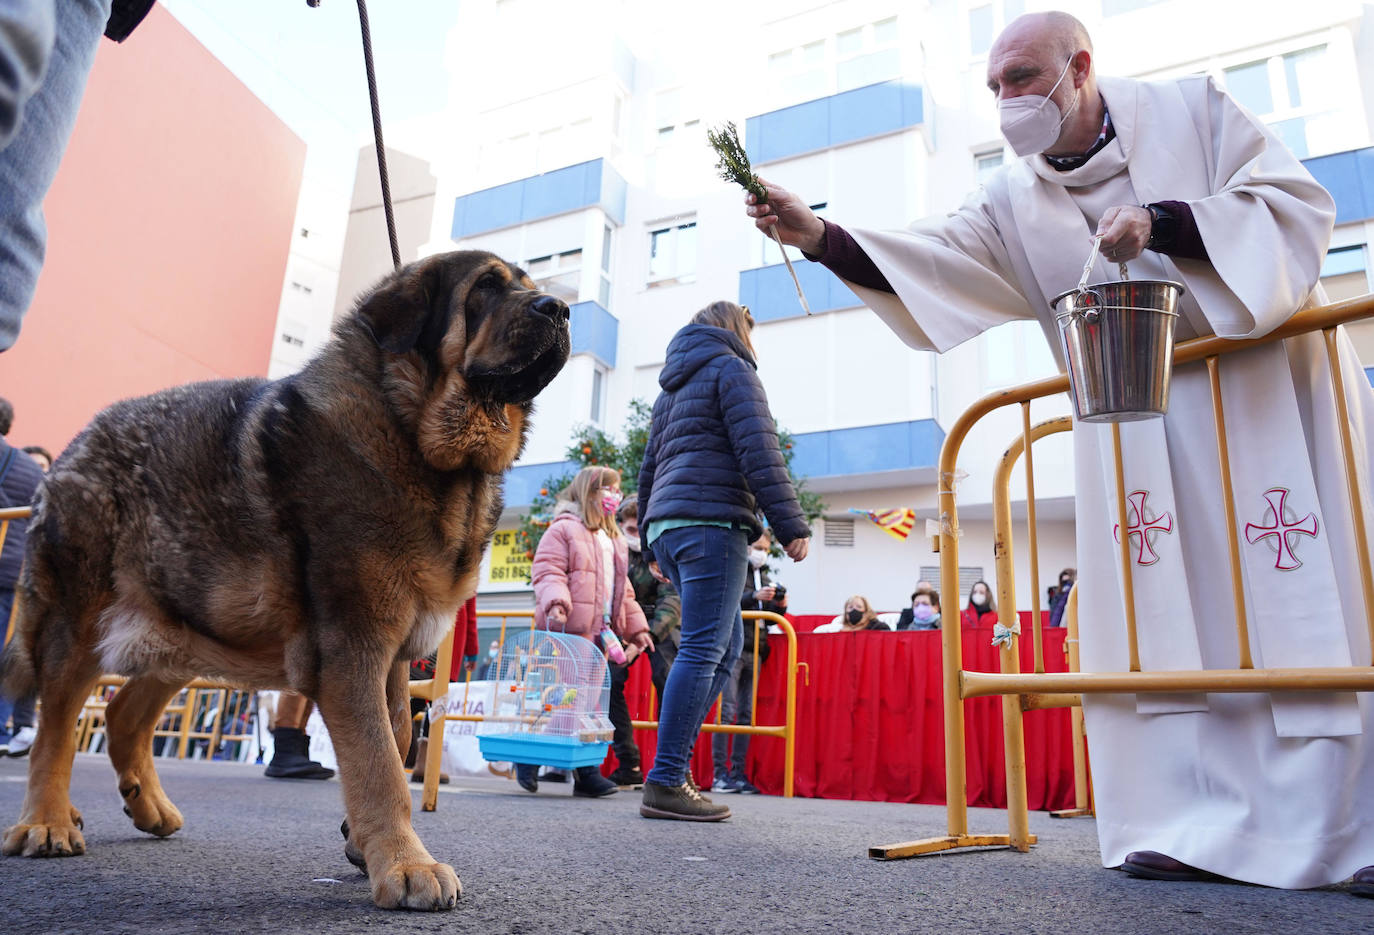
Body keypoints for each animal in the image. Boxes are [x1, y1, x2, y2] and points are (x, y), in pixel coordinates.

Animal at [0, 251, 568, 907]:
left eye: (530, 286)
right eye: (485, 289)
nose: (560, 308)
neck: (408, 430)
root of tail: (77, 445)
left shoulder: (395, 655)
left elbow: (399, 733)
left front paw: (363, 841)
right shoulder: (352, 646)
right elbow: (379, 759)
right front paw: (406, 865)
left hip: (189, 625)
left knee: (120, 718)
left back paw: (147, 806)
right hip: (79, 621)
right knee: (57, 726)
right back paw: (46, 820)